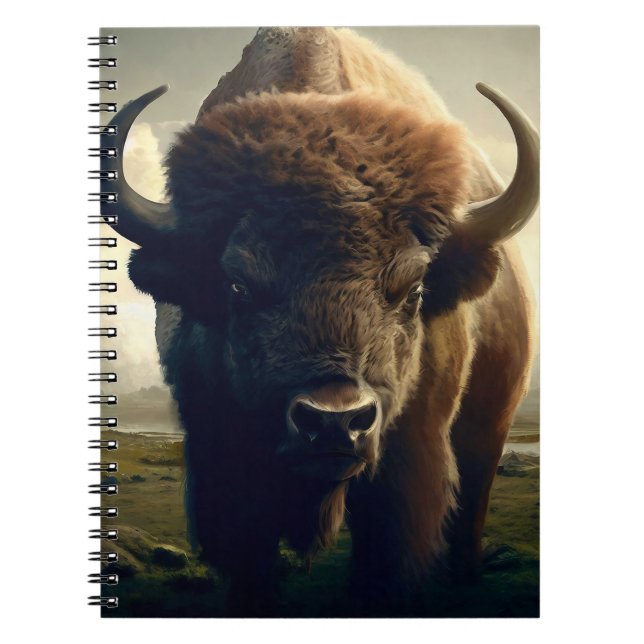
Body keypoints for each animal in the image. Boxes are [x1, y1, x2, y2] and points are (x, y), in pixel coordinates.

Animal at [101, 27, 539, 614]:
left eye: (414, 289)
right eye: (238, 285)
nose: (335, 421)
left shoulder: (409, 463)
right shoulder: (219, 449)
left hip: (488, 428)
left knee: (470, 505)